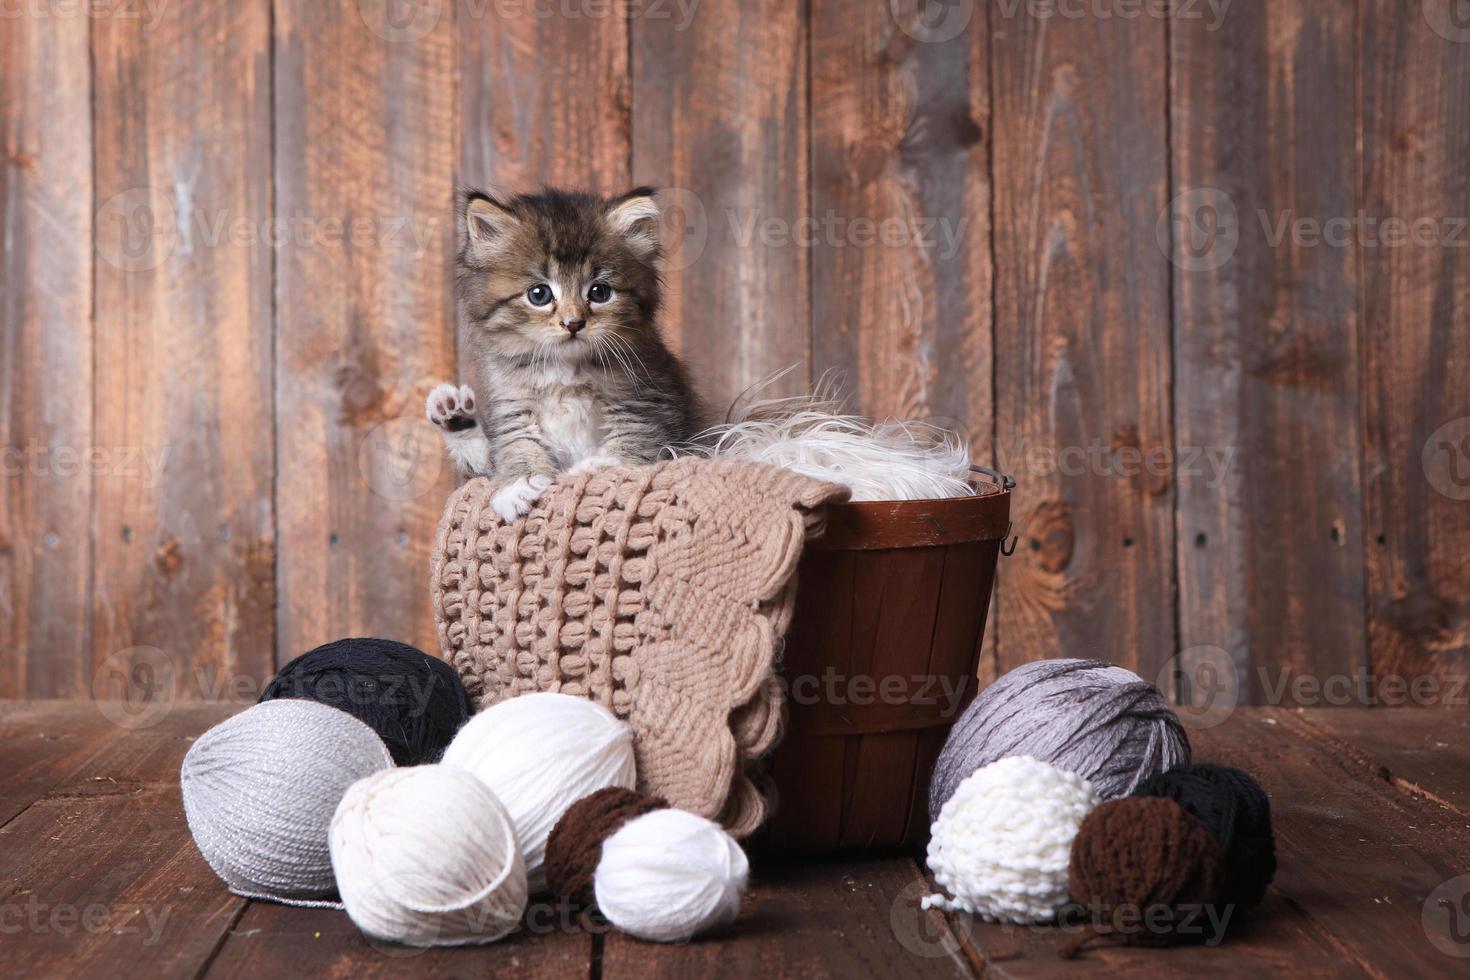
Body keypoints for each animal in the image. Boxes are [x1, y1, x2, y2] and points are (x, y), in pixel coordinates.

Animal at [426, 185, 699, 520]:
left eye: (600, 292)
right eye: (539, 294)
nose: (573, 323)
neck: (566, 369)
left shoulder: (650, 401)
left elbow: (635, 442)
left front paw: (596, 466)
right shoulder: (514, 404)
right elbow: (514, 445)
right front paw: (518, 484)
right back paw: (453, 414)